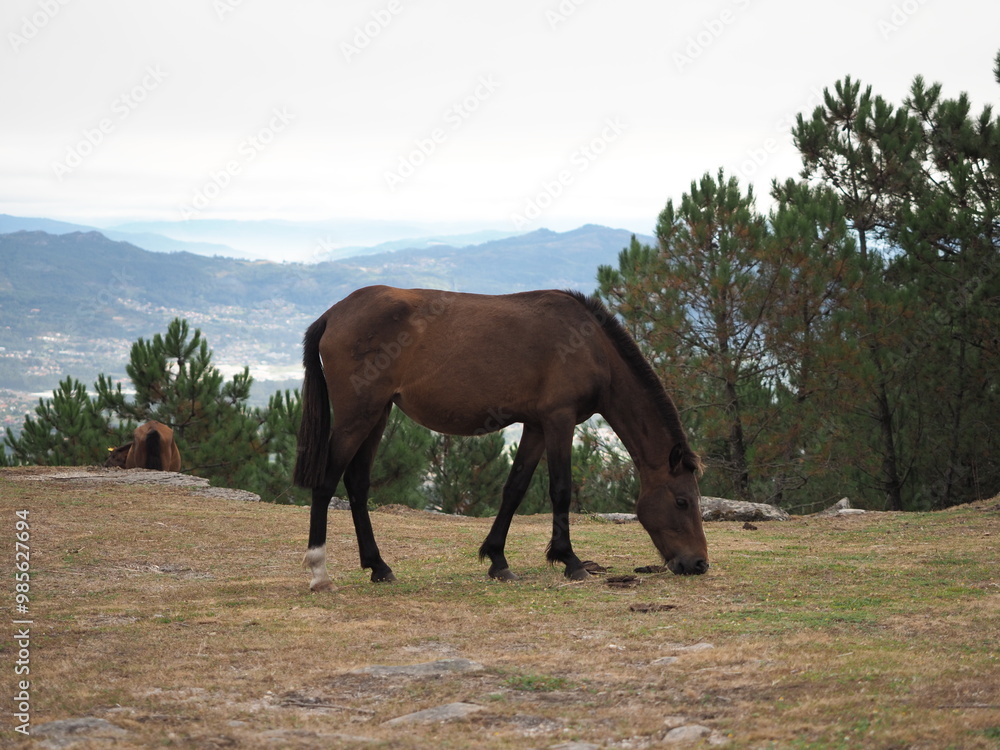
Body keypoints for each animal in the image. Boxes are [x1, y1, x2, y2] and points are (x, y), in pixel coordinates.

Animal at [294, 285, 708, 592]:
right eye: (683, 501)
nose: (699, 563)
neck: (592, 346)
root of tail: (334, 314)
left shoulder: (537, 426)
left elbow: (515, 488)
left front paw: (497, 560)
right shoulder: (559, 420)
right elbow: (560, 489)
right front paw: (570, 561)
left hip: (377, 414)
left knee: (357, 483)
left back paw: (379, 567)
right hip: (357, 416)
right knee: (326, 482)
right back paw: (319, 572)